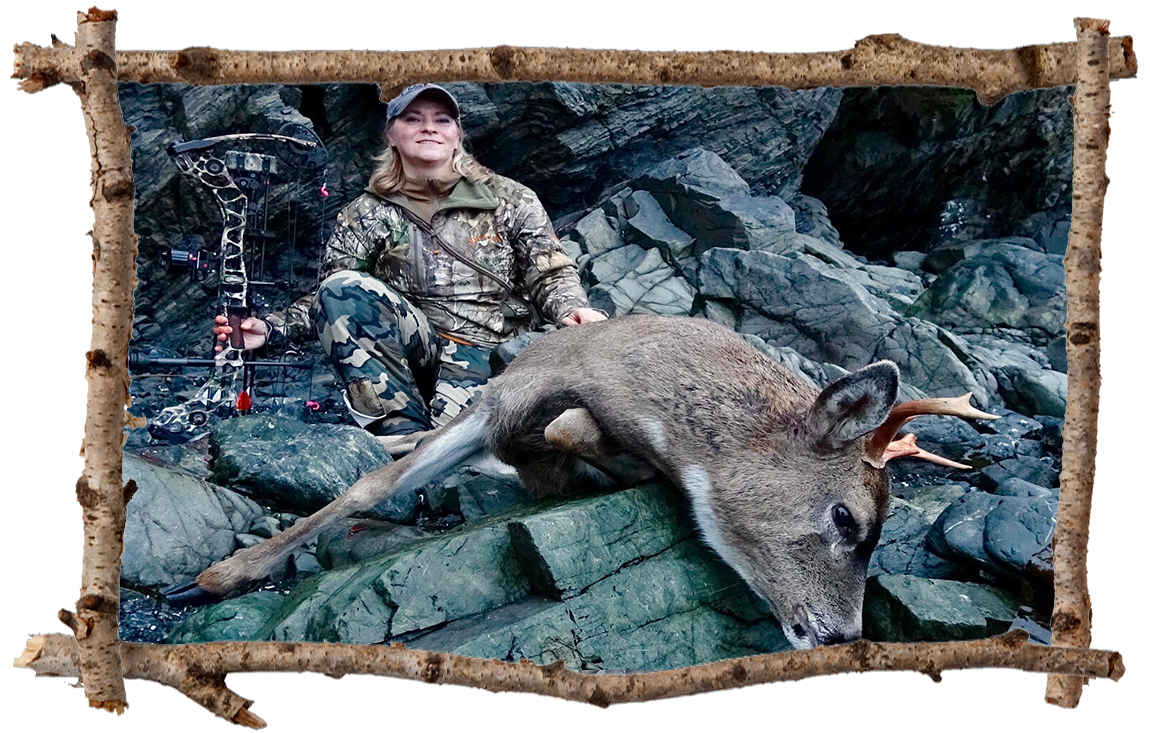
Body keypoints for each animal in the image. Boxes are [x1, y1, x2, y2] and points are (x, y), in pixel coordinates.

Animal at [164, 312, 998, 644]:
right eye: (847, 518)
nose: (843, 634)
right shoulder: (506, 393)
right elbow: (373, 483)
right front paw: (210, 576)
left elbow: (559, 441)